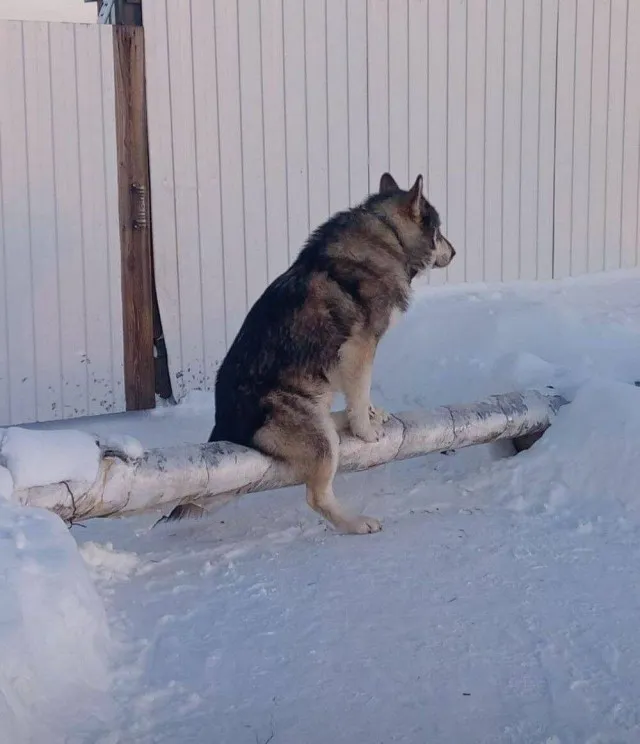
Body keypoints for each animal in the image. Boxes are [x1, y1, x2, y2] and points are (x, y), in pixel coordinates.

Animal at [168, 174, 455, 533]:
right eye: (439, 231)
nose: (455, 252)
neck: (388, 234)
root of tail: (226, 429)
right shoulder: (361, 347)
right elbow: (360, 391)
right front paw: (366, 429)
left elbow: (359, 394)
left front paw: (369, 413)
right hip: (322, 445)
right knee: (317, 496)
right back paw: (355, 522)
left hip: (321, 404)